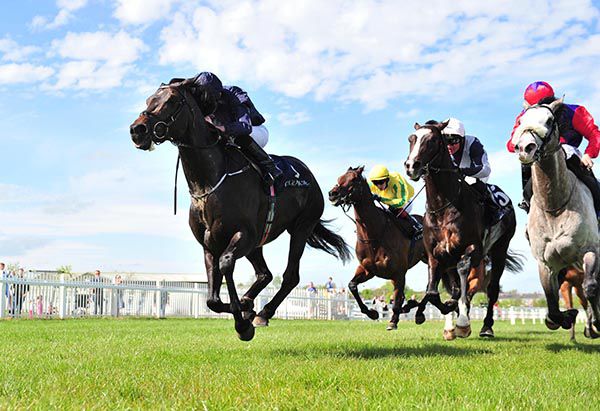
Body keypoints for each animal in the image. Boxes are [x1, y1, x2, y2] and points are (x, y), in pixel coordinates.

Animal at [129, 80, 350, 342]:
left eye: (171, 100)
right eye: (148, 100)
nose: (137, 129)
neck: (209, 182)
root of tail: (307, 173)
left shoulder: (244, 235)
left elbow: (226, 265)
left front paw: (243, 323)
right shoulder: (210, 244)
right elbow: (212, 299)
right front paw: (244, 309)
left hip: (301, 228)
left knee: (289, 276)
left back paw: (264, 312)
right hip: (259, 243)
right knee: (265, 274)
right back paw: (251, 305)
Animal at [328, 166, 426, 330]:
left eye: (353, 179)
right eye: (339, 178)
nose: (332, 194)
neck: (374, 234)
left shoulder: (399, 272)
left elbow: (397, 299)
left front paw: (393, 321)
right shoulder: (368, 269)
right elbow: (352, 285)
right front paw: (372, 313)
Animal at [406, 120, 524, 340]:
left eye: (432, 140)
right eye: (412, 139)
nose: (411, 166)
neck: (443, 207)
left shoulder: (472, 249)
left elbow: (462, 278)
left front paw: (462, 321)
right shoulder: (435, 255)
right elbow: (433, 292)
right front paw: (441, 313)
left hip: (500, 249)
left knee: (492, 289)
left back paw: (486, 327)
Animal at [510, 98, 600, 340]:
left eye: (550, 120)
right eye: (521, 121)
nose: (525, 148)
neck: (554, 207)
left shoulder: (591, 251)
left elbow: (591, 287)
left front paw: (596, 324)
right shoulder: (546, 263)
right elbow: (551, 303)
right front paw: (565, 317)